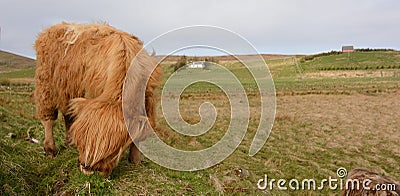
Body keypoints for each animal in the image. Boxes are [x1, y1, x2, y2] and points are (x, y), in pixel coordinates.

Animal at [34, 22, 162, 175]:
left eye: (113, 150)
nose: (87, 168)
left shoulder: (148, 102)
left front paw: (136, 160)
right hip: (45, 86)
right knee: (49, 119)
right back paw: (50, 149)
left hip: (68, 90)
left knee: (68, 115)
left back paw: (69, 142)